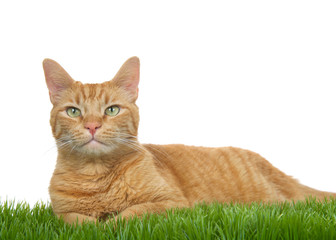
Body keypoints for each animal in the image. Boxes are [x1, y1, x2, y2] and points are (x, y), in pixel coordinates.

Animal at [44, 57, 334, 224]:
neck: (97, 178)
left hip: (278, 200)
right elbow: (75, 221)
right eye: (74, 111)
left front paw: (110, 225)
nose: (92, 125)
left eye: (112, 110)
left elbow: (130, 214)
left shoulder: (172, 204)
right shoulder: (60, 213)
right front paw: (93, 226)